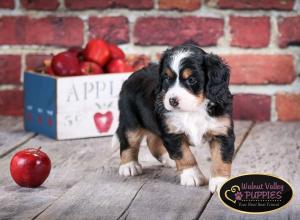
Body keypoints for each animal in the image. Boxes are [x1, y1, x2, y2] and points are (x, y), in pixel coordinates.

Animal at [112, 43, 234, 192]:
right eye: (166, 78)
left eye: (191, 80)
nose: (172, 101)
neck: (193, 110)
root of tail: (131, 76)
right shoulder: (173, 132)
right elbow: (185, 155)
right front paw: (192, 176)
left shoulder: (221, 131)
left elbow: (221, 158)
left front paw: (219, 181)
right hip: (131, 121)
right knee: (128, 142)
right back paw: (129, 166)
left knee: (152, 141)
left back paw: (169, 159)